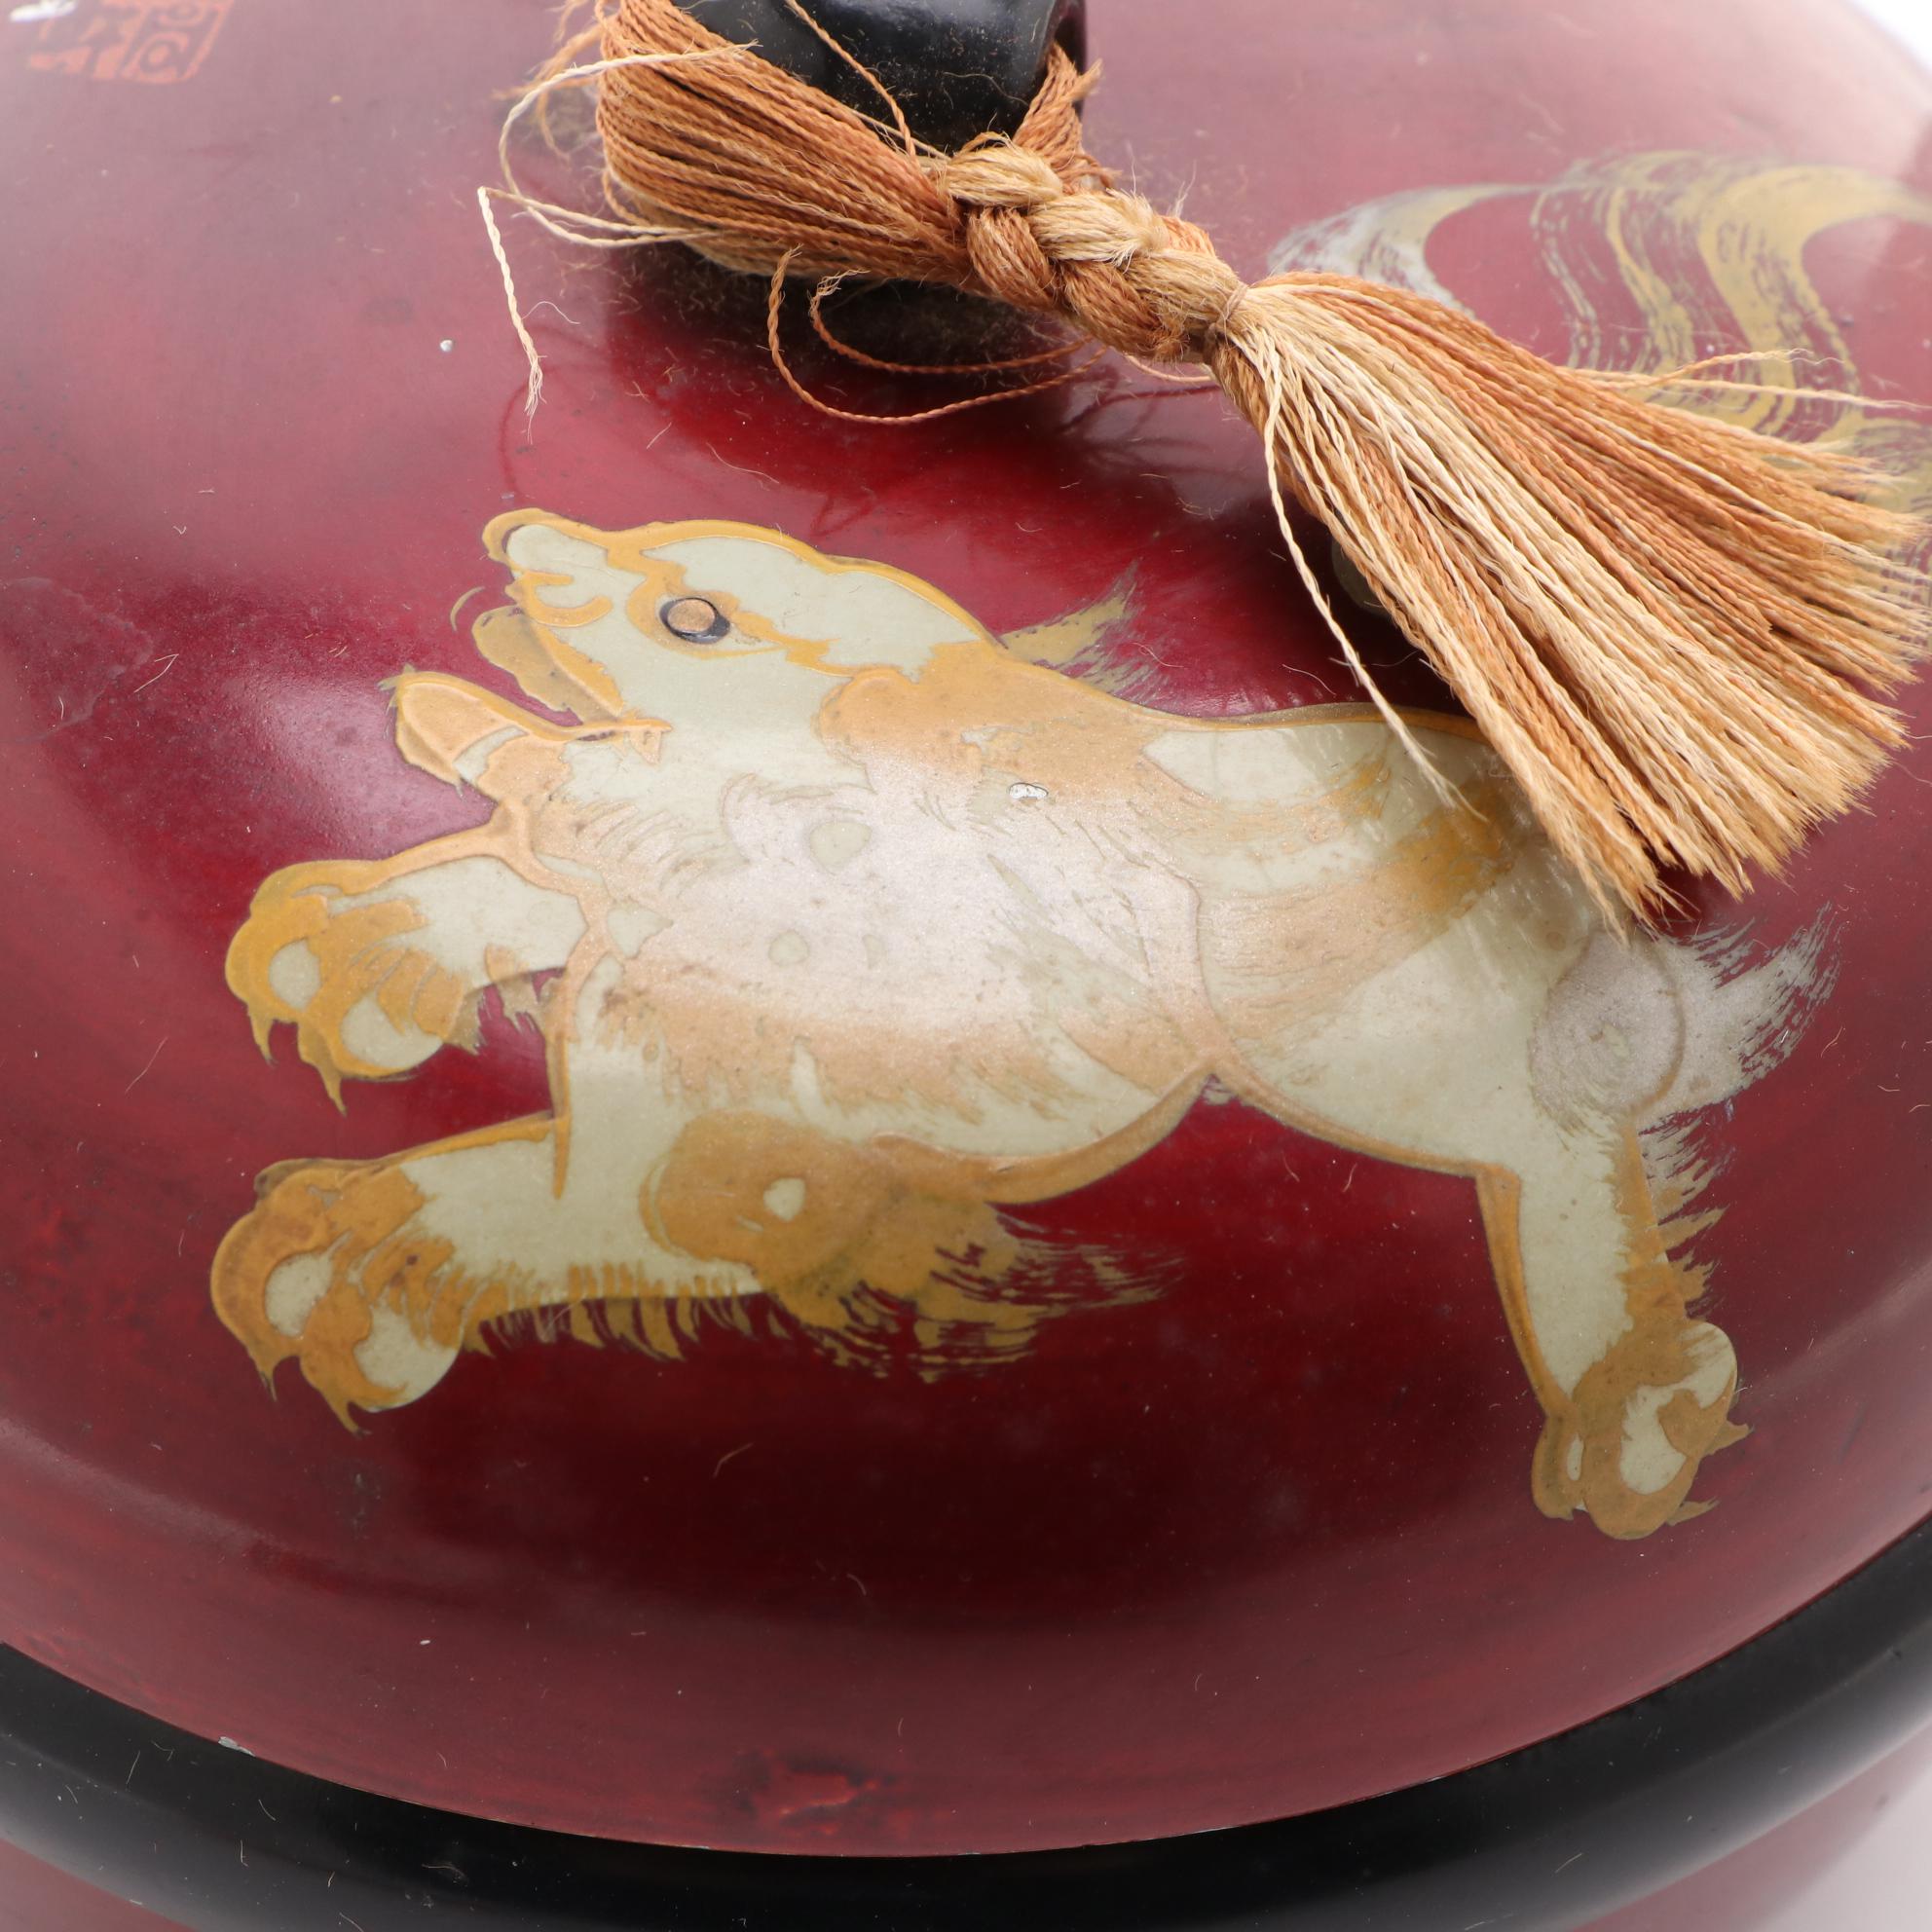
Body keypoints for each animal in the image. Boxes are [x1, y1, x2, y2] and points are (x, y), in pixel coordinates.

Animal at [213, 509, 1828, 1538]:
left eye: (696, 614)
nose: (512, 539)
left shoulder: (748, 1172)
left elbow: (551, 1205)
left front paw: (380, 1270)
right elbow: (521, 920)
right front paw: (362, 964)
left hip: (1355, 1054)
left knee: (1559, 1157)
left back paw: (1630, 1401)